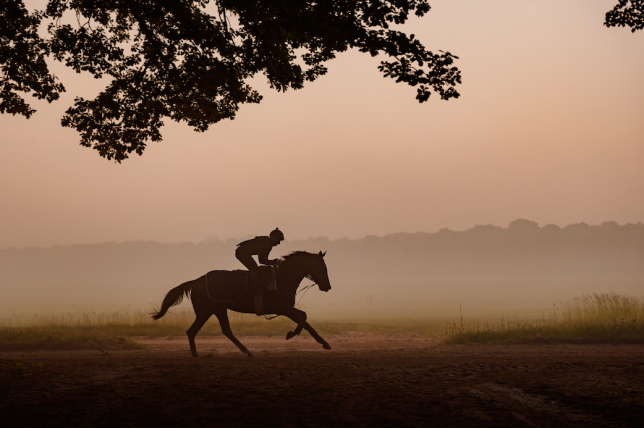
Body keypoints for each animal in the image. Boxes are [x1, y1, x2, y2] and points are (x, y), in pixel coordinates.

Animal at [152, 251, 332, 358]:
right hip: (206, 311)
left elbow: (303, 316)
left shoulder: (286, 308)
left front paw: (291, 333)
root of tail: (196, 281)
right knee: (196, 331)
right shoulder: (284, 308)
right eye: (321, 267)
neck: (283, 278)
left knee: (218, 331)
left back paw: (244, 351)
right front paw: (324, 343)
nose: (327, 286)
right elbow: (305, 322)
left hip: (215, 309)